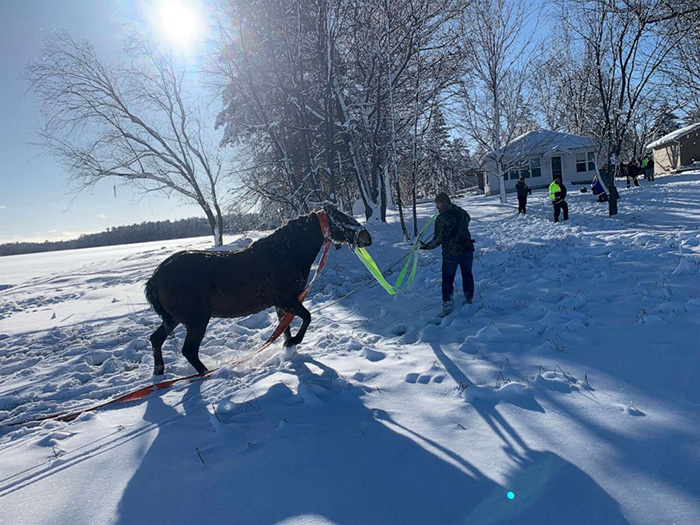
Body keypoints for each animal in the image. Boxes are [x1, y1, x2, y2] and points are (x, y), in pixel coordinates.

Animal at [144, 203, 372, 374]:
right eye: (342, 217)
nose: (367, 238)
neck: (285, 253)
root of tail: (156, 277)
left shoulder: (283, 304)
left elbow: (284, 327)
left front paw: (288, 348)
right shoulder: (286, 300)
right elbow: (306, 318)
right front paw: (295, 342)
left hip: (174, 319)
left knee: (156, 340)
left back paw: (159, 372)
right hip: (196, 320)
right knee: (189, 351)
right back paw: (206, 374)